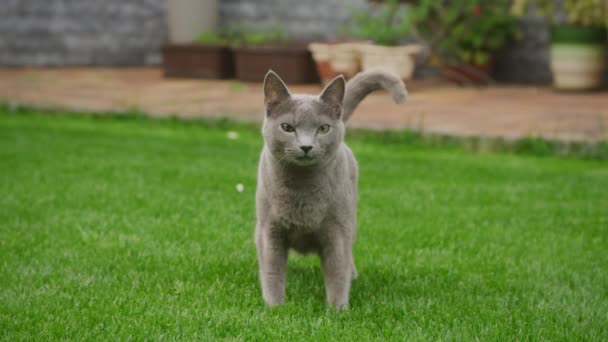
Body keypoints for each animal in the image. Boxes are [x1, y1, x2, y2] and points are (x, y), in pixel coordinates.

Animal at [254, 68, 406, 308]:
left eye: (323, 128)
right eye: (287, 127)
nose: (306, 146)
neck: (302, 188)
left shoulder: (337, 230)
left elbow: (337, 271)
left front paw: (337, 309)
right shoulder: (269, 229)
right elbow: (272, 271)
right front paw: (274, 306)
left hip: (351, 217)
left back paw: (353, 274)